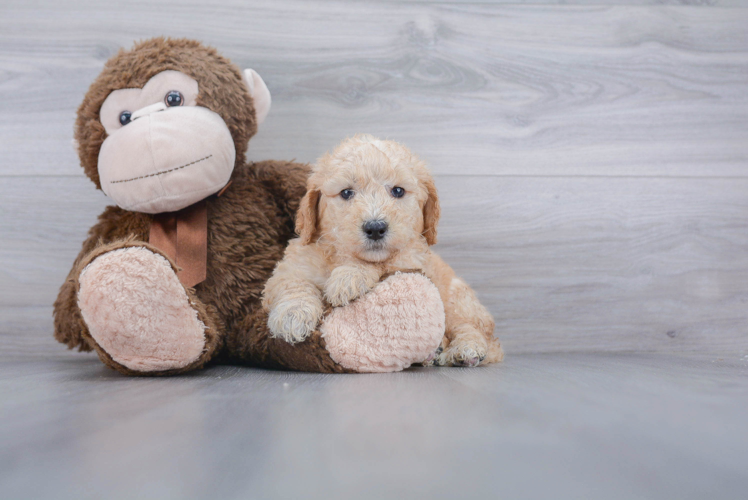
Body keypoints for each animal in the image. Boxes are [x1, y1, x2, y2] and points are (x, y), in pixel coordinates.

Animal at [262, 135, 502, 366]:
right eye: (346, 193)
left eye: (398, 191)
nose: (375, 228)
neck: (342, 255)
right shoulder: (292, 266)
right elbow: (293, 284)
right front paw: (292, 315)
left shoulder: (411, 257)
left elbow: (383, 263)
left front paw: (349, 277)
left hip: (457, 299)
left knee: (471, 329)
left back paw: (465, 349)